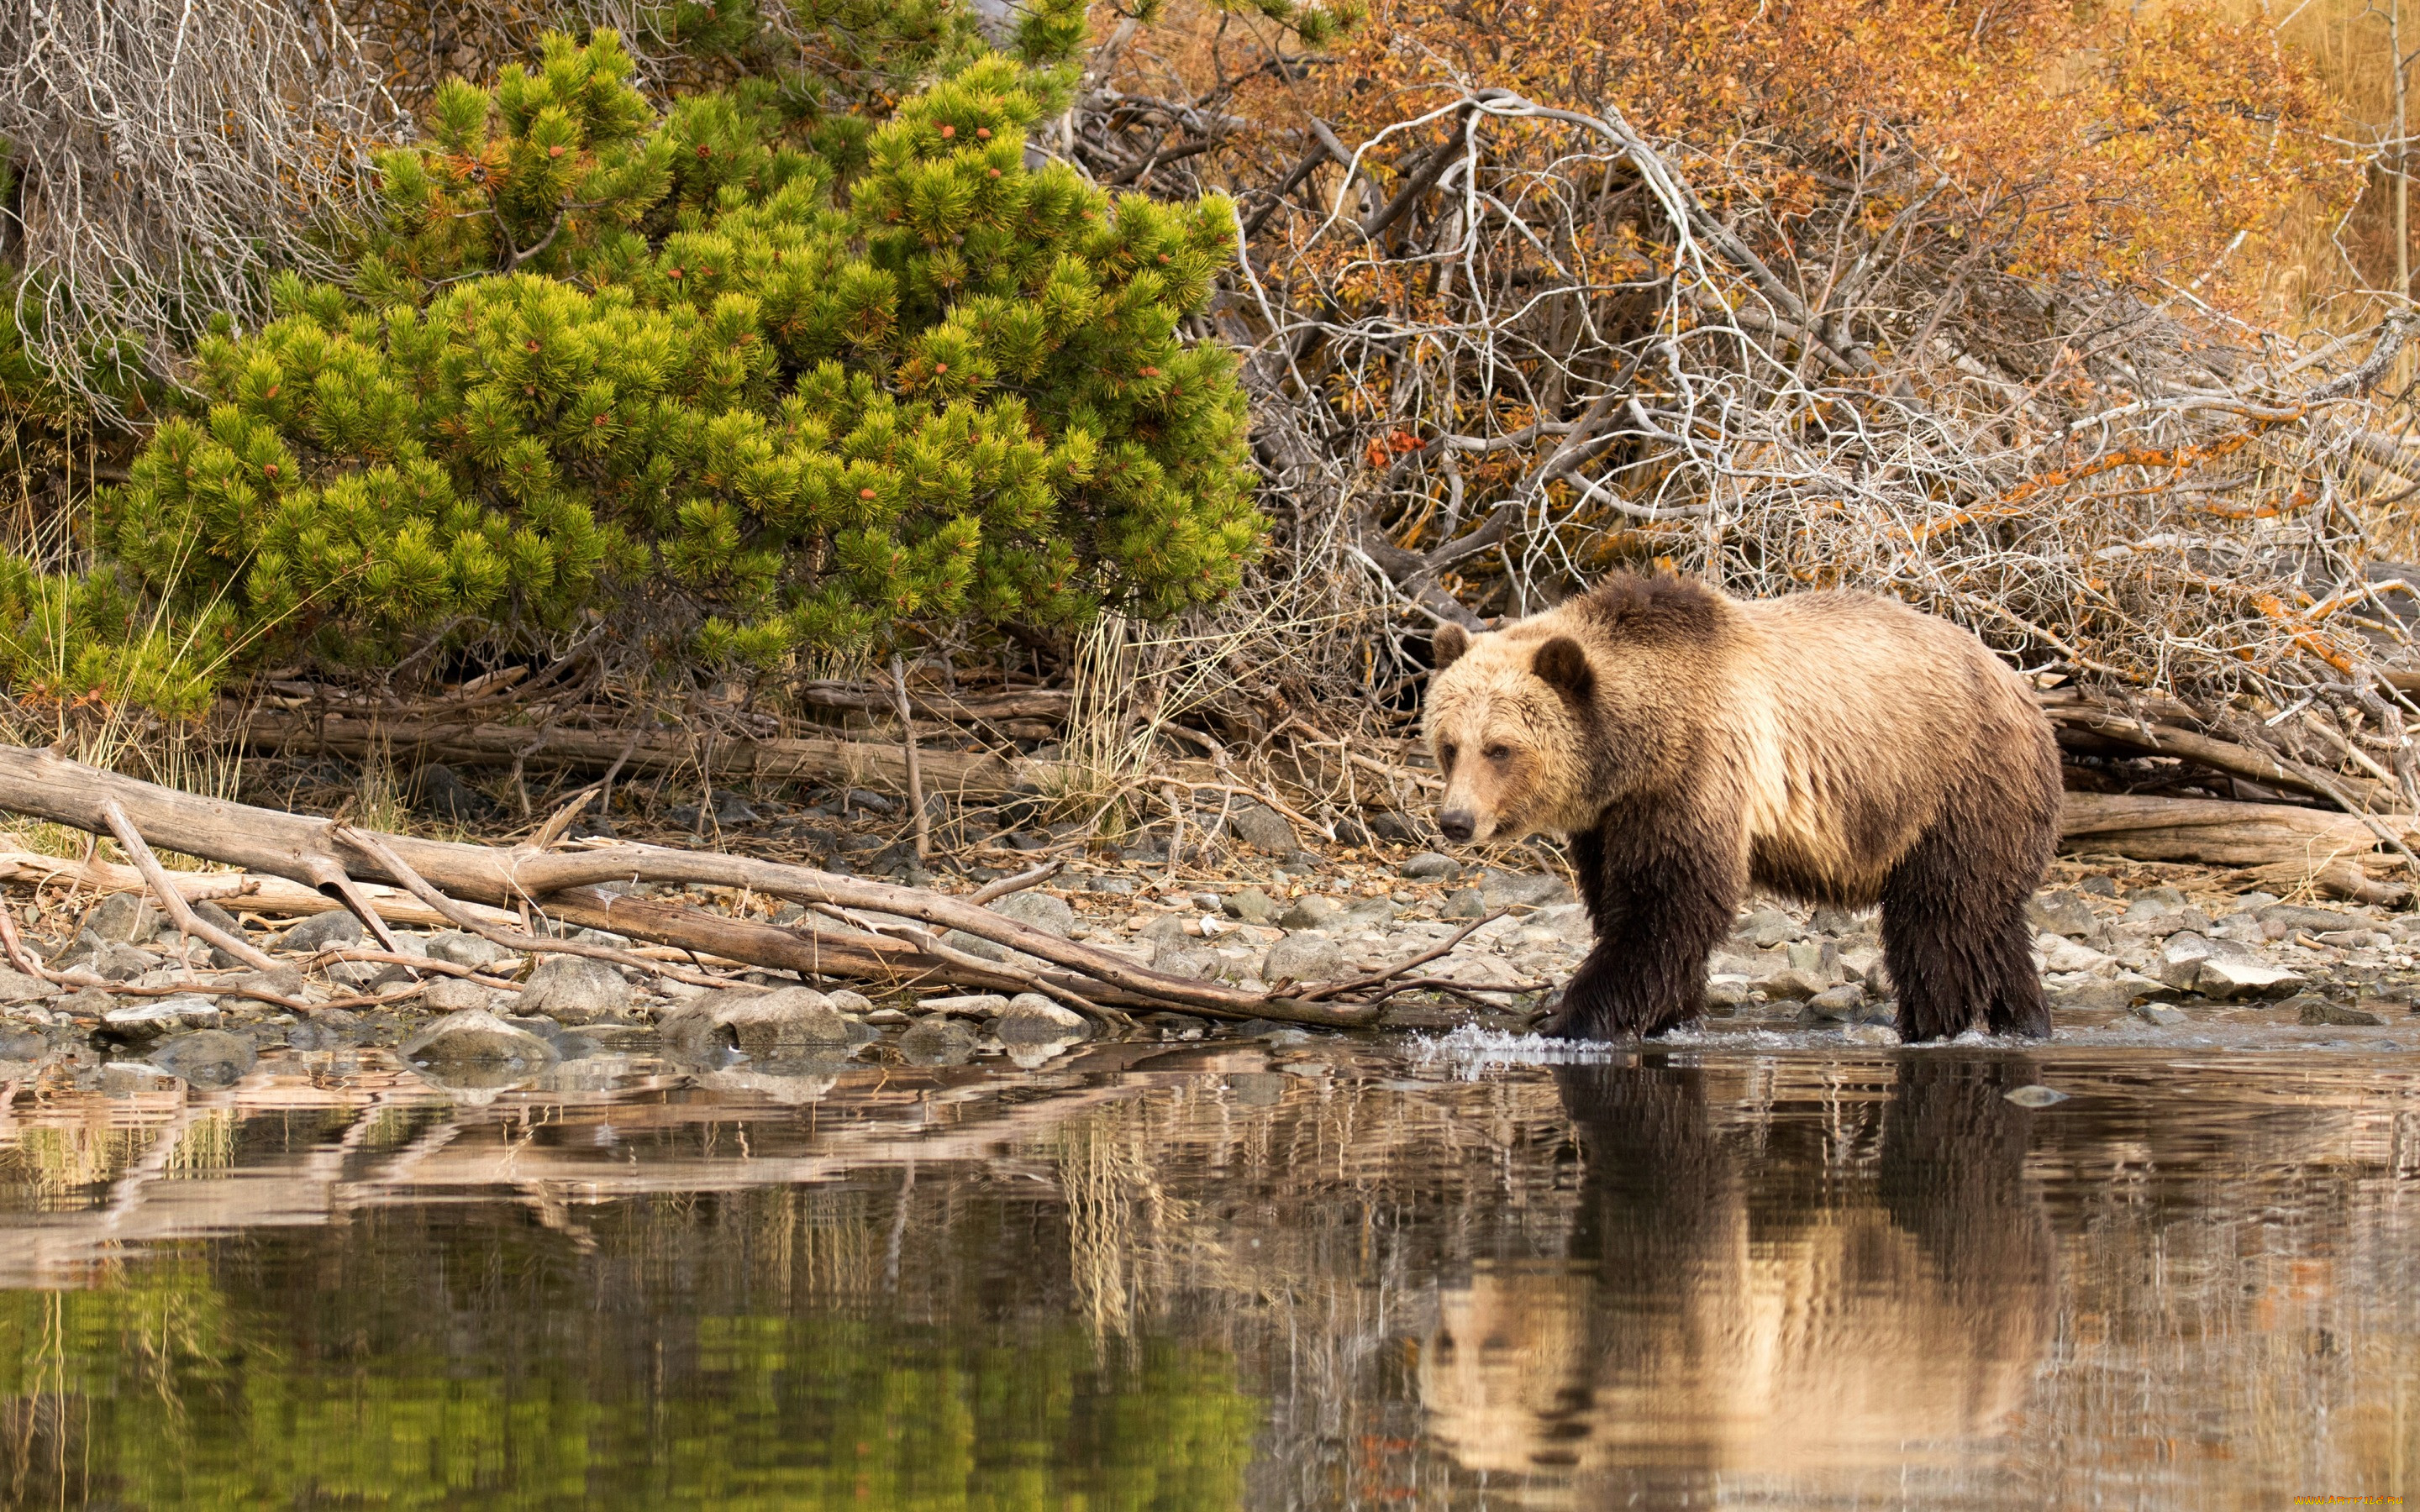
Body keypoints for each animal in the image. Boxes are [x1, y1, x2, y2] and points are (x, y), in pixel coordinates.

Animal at [1423, 570, 2071, 1045]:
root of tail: (2023, 686)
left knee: (1942, 920)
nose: (1456, 821)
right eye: (1450, 744)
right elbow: (1620, 900)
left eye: (1500, 748)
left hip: (1956, 787)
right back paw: (2026, 1020)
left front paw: (1572, 1019)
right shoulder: (1612, 818)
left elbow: (1666, 907)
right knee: (1992, 922)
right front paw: (1668, 1015)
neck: (1635, 748)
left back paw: (1935, 1024)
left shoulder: (1696, 771)